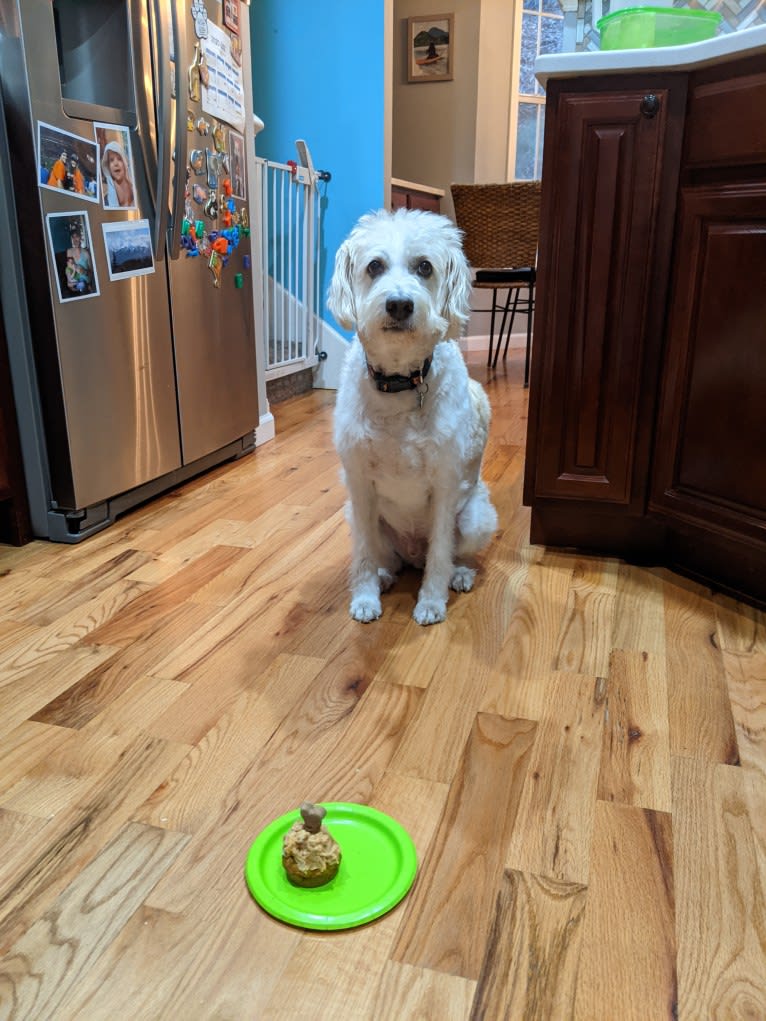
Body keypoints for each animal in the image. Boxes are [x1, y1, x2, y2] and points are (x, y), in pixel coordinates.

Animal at [328, 206, 498, 620]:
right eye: (374, 266)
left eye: (424, 267)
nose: (400, 304)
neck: (400, 382)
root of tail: (411, 552)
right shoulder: (358, 484)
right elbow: (362, 555)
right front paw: (365, 596)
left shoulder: (446, 484)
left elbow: (441, 552)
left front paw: (432, 601)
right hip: (360, 518)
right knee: (384, 555)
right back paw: (385, 575)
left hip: (476, 518)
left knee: (449, 554)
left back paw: (459, 575)